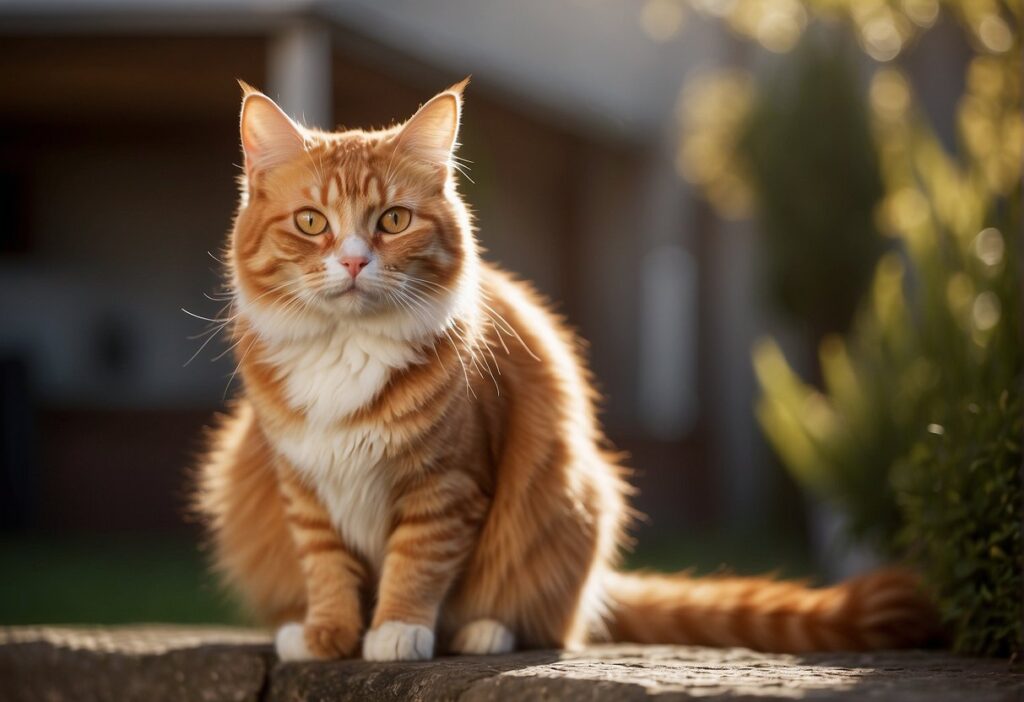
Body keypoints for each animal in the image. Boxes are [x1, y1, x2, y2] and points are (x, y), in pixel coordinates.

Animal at [192, 79, 937, 663]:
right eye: (311, 223)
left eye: (394, 220)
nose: (351, 261)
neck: (347, 351)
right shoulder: (302, 484)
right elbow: (326, 568)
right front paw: (328, 636)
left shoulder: (448, 484)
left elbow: (416, 564)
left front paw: (397, 631)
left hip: (570, 494)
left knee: (549, 620)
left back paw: (483, 632)